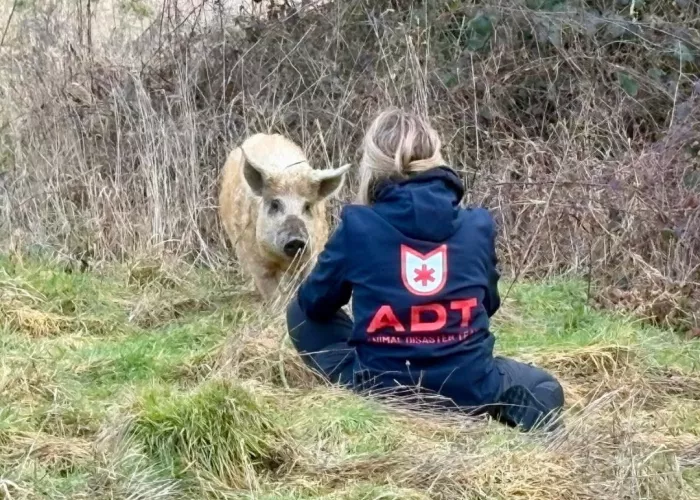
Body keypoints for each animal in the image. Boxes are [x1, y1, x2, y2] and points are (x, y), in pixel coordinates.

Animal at [218, 133, 350, 300]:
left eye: (307, 206)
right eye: (275, 204)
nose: (296, 240)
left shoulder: (313, 253)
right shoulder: (258, 263)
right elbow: (274, 295)